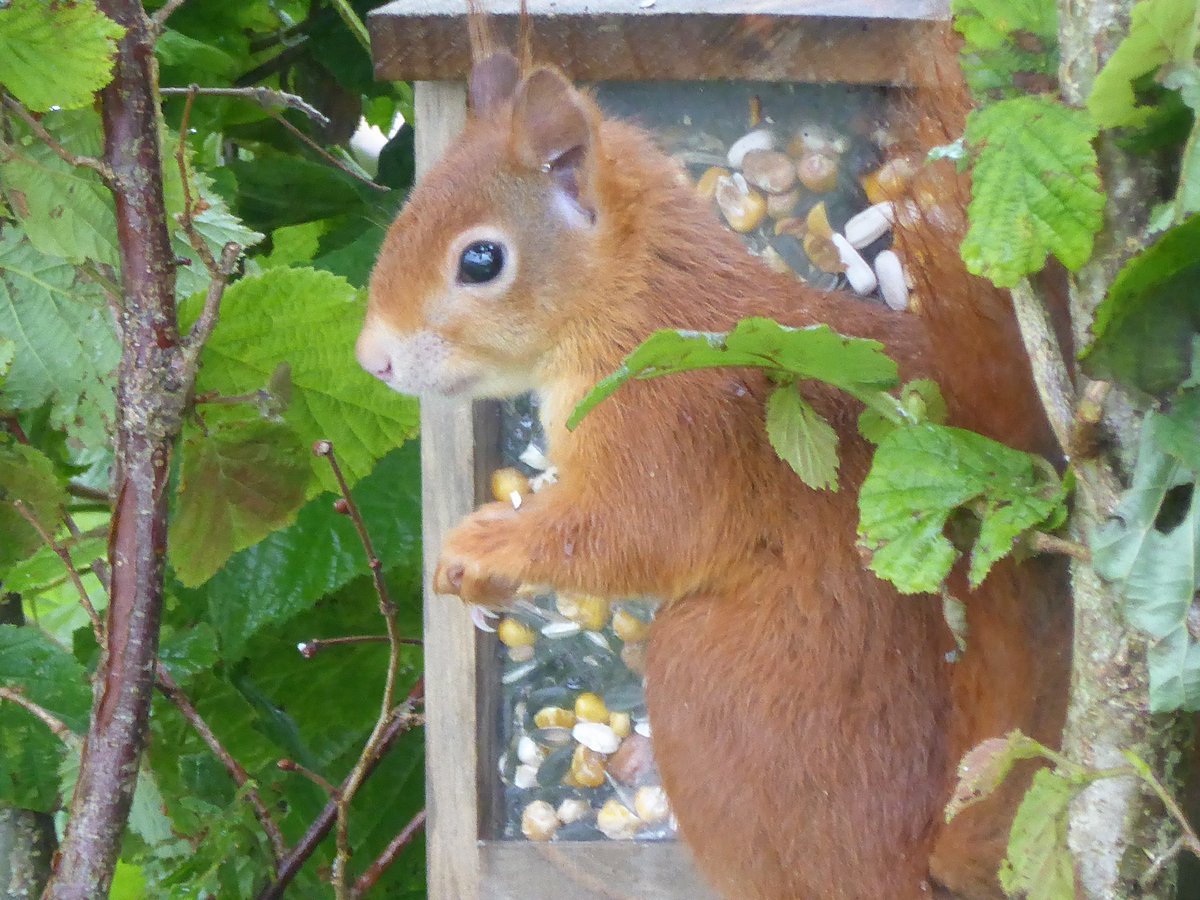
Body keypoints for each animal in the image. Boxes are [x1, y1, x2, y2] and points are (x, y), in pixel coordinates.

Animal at [355, 9, 1070, 899]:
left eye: (480, 260)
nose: (371, 360)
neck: (633, 307)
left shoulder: (669, 424)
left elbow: (625, 534)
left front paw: (483, 546)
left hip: (721, 693)